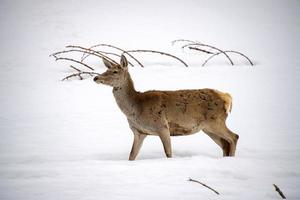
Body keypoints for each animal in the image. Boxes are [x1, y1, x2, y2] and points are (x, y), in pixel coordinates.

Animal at [94, 55, 239, 161]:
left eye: (115, 71)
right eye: (106, 69)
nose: (96, 77)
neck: (136, 108)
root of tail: (228, 97)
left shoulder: (162, 126)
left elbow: (168, 153)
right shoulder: (139, 132)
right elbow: (131, 155)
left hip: (215, 121)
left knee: (234, 137)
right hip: (207, 128)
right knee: (225, 144)